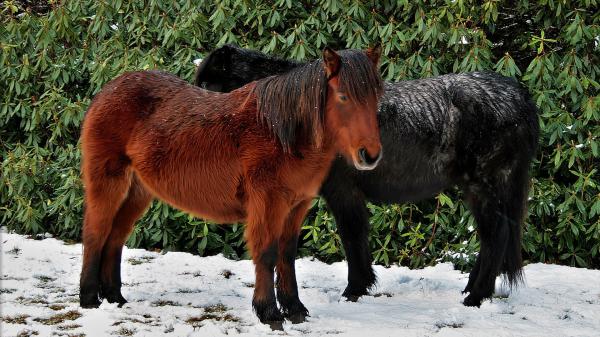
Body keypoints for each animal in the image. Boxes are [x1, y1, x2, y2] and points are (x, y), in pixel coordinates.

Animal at [79, 46, 382, 326]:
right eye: (343, 96)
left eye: (375, 97)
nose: (370, 155)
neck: (280, 130)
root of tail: (107, 91)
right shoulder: (268, 203)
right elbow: (267, 253)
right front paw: (269, 313)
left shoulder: (296, 206)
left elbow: (286, 255)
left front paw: (294, 309)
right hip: (108, 183)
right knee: (96, 234)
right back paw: (89, 299)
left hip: (137, 192)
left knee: (115, 238)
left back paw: (115, 298)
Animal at [193, 43, 540, 306]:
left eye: (208, 86)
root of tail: (518, 95)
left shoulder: (343, 191)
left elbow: (352, 236)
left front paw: (354, 290)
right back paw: (471, 289)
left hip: (485, 185)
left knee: (495, 236)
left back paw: (476, 297)